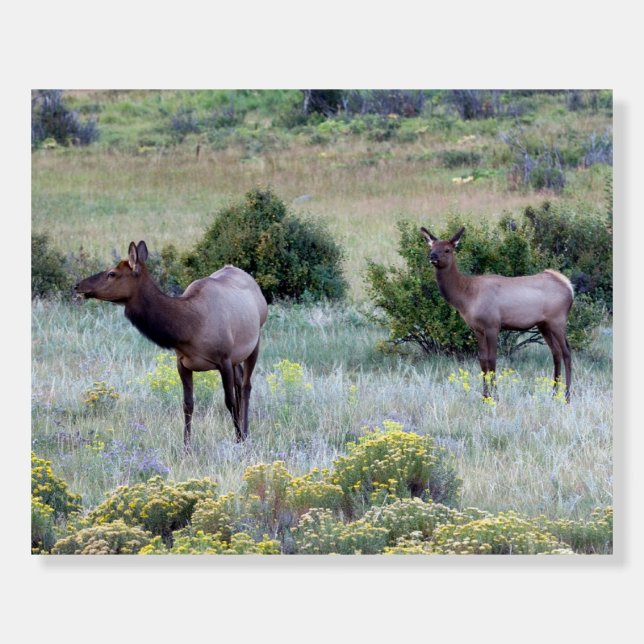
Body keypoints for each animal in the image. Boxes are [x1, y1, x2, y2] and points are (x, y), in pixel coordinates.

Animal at [74, 241, 268, 450]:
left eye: (112, 273)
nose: (77, 285)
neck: (189, 328)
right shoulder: (182, 362)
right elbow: (188, 404)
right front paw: (186, 447)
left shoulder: (223, 358)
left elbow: (229, 401)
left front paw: (239, 439)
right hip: (236, 357)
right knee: (240, 383)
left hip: (255, 341)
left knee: (246, 387)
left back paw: (246, 432)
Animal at [420, 226, 574, 401]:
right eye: (431, 247)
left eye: (447, 249)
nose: (432, 256)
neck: (466, 298)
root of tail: (570, 287)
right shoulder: (477, 329)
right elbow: (482, 360)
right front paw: (485, 396)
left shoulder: (492, 325)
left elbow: (492, 359)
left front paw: (495, 396)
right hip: (544, 324)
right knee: (556, 353)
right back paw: (554, 394)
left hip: (557, 320)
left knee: (567, 352)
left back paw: (567, 396)